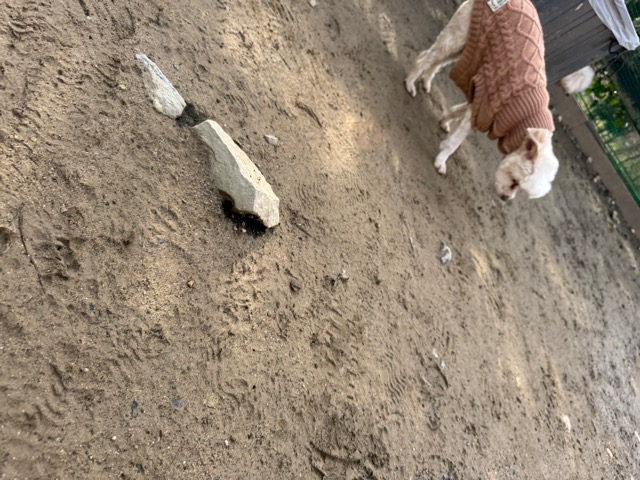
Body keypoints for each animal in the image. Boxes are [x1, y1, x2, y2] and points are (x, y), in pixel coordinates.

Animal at [405, 0, 559, 201]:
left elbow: (457, 110)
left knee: (437, 63)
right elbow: (454, 143)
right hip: (456, 38)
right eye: (515, 181)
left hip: (464, 47)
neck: (524, 119)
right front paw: (441, 161)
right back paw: (410, 82)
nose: (505, 199)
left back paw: (425, 81)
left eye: (519, 188)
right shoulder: (483, 108)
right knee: (426, 58)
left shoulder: (478, 105)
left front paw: (445, 121)